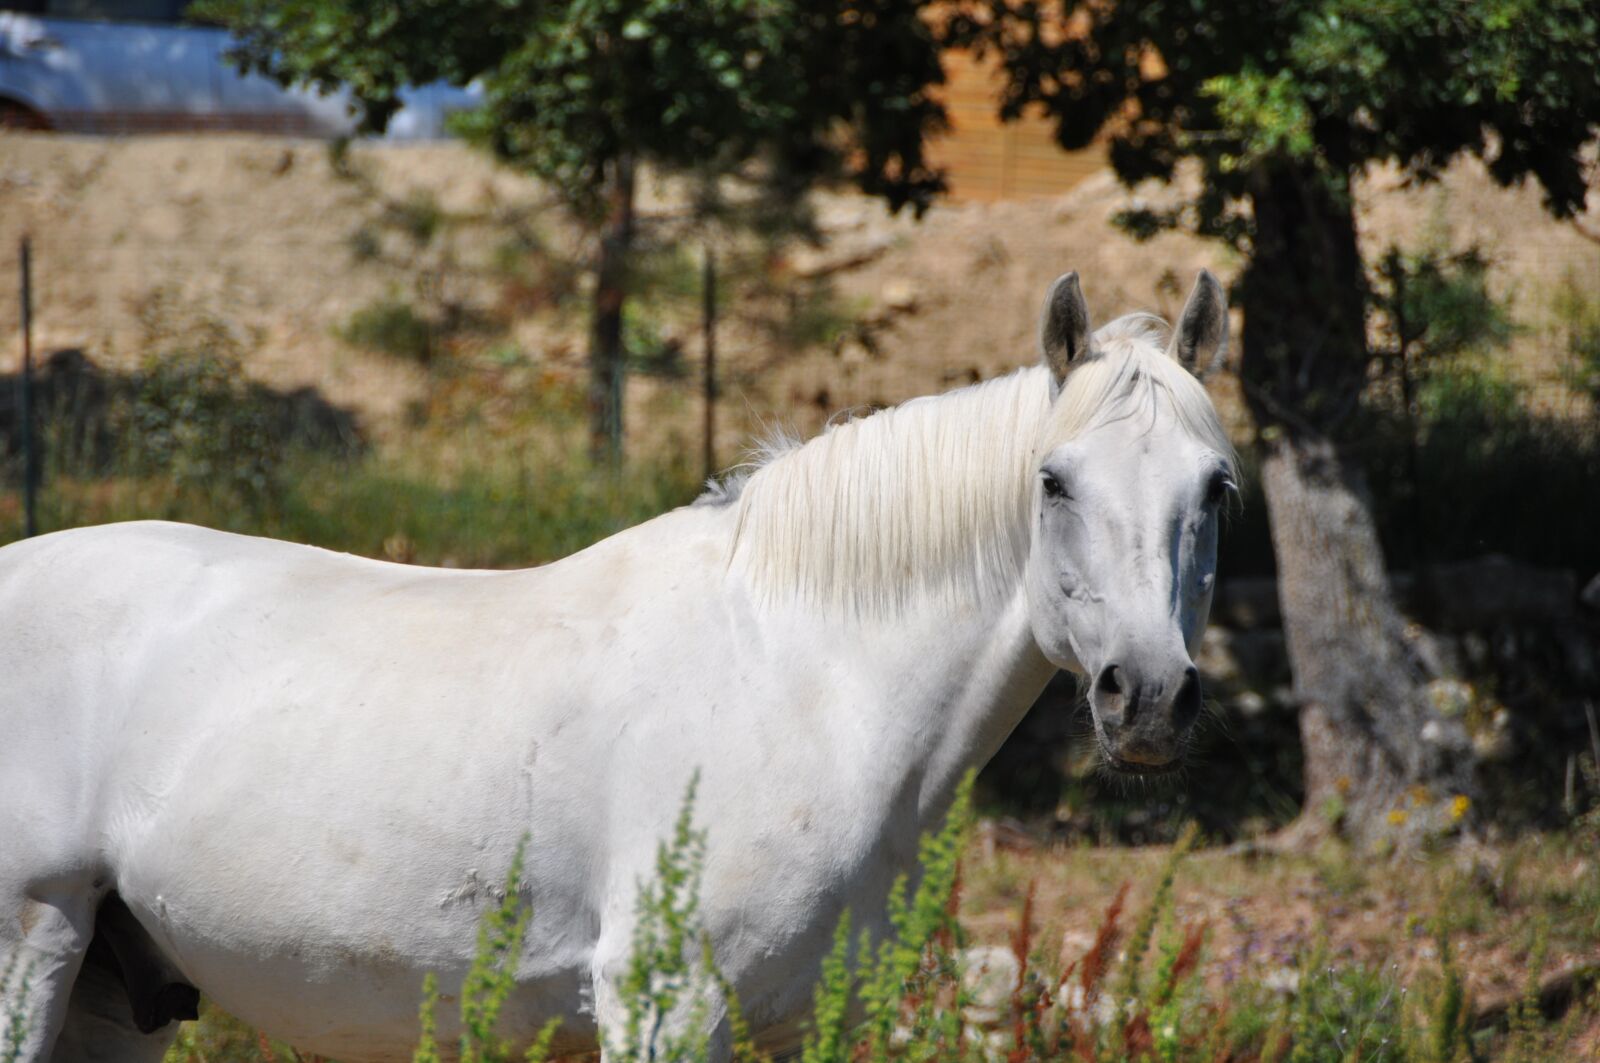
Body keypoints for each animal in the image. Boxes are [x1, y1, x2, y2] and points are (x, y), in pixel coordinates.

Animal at [0, 269, 1235, 1062]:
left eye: (1216, 486)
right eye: (1054, 481)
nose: (1148, 699)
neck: (804, 685)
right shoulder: (665, 1012)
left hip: (112, 996)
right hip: (34, 947)